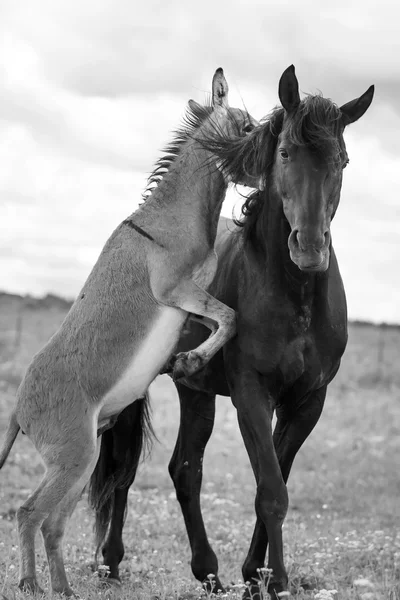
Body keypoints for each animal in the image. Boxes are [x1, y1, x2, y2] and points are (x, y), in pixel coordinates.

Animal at [0, 70, 260, 596]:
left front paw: (188, 360)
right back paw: (33, 584)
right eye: (245, 126)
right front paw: (191, 361)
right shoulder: (176, 290)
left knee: (52, 522)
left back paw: (63, 588)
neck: (173, 216)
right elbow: (230, 317)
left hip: (79, 462)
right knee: (28, 512)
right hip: (75, 457)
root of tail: (18, 407)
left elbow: (221, 321)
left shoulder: (191, 303)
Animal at [89, 65, 374, 596]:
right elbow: (272, 491)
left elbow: (277, 480)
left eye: (342, 160)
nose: (309, 248)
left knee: (185, 471)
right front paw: (276, 580)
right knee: (124, 469)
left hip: (196, 390)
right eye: (285, 153)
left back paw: (208, 573)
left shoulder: (308, 401)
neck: (297, 298)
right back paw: (112, 563)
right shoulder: (251, 394)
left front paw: (254, 576)